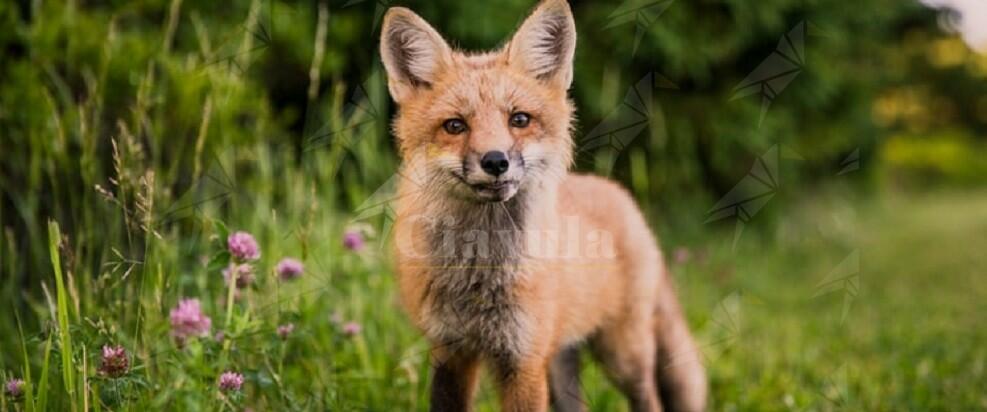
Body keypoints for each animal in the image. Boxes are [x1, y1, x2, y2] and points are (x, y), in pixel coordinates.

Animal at [380, 1, 712, 410]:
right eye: (455, 125)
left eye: (519, 119)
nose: (495, 161)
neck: (481, 272)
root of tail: (619, 194)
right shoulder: (450, 351)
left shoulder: (524, 359)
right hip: (560, 362)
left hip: (623, 355)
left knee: (650, 398)